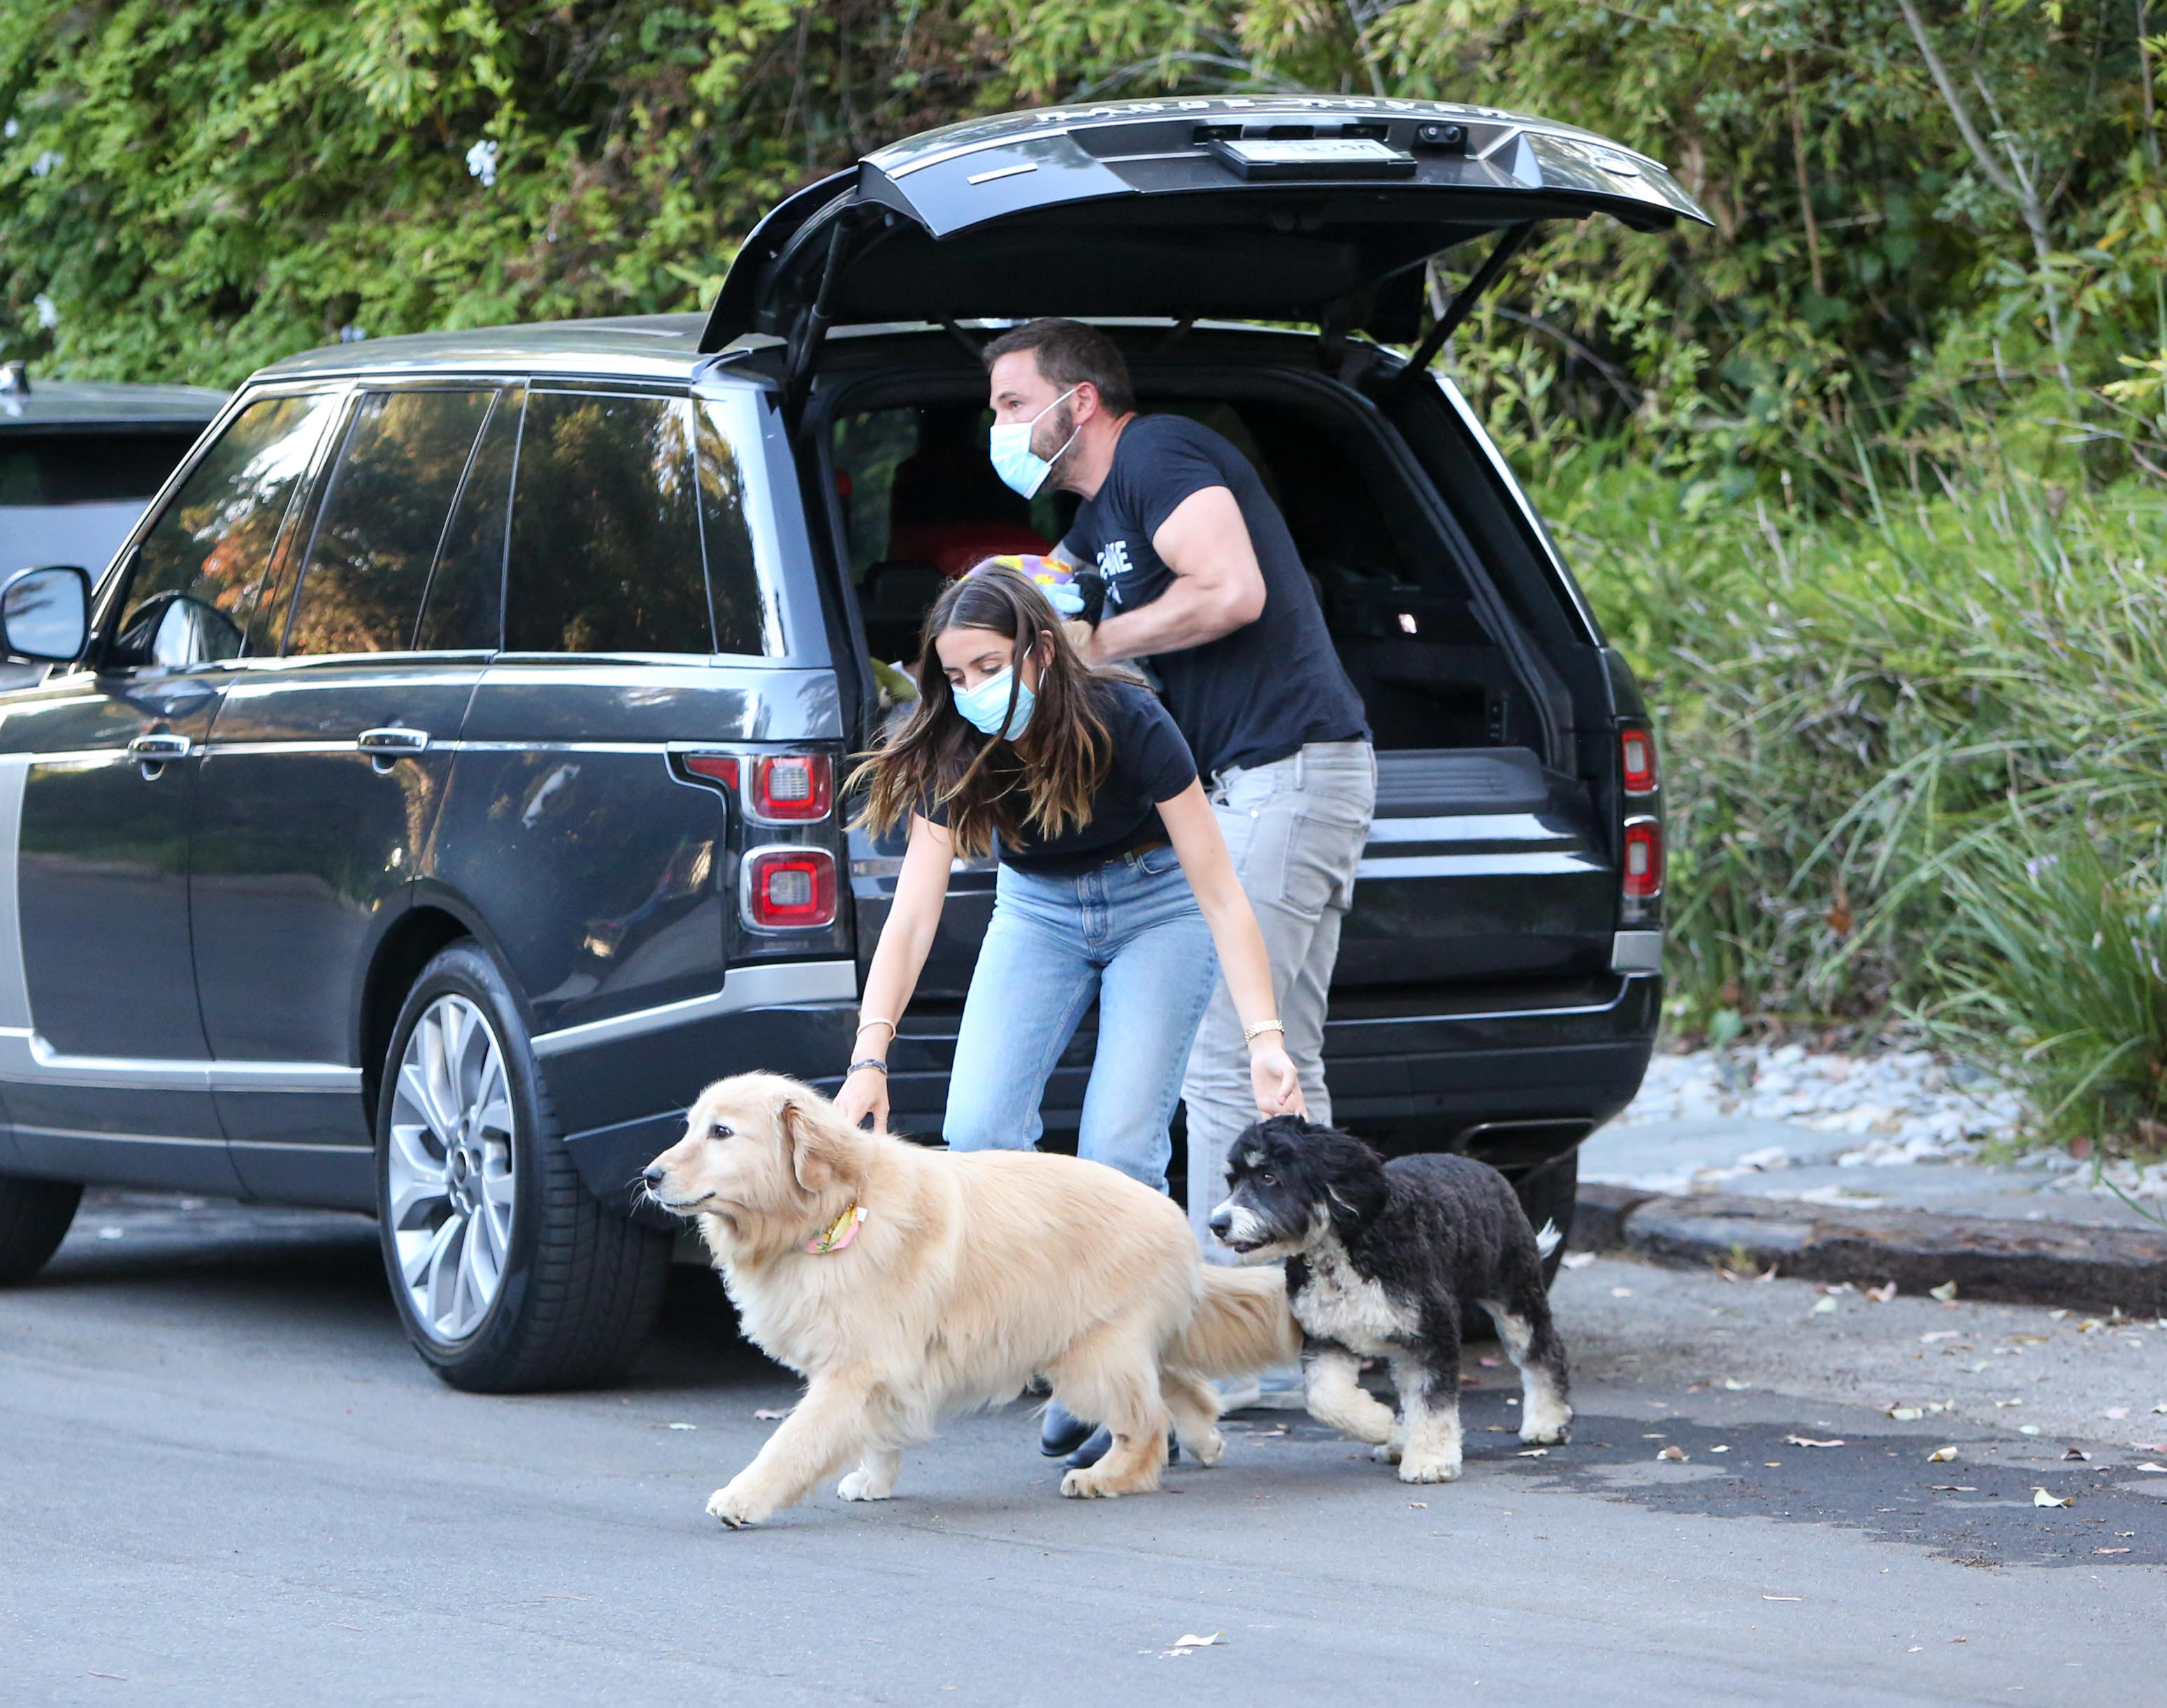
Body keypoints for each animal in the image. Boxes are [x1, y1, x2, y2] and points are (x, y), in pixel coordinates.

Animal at [633, 1075, 1291, 1526]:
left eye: (721, 1132)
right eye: (690, 1127)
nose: (649, 1176)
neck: (836, 1207)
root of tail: (1177, 1218)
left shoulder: (854, 1368)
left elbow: (793, 1442)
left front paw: (744, 1496)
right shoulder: (882, 1368)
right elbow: (875, 1433)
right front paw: (874, 1479)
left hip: (1091, 1358)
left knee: (1148, 1423)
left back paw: (1109, 1476)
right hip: (1103, 1345)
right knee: (1182, 1383)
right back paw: (1204, 1438)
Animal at [1204, 1118, 1577, 1482]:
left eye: (1269, 1177)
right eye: (1232, 1181)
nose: (1216, 1224)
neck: (1343, 1250)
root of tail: (1487, 1170)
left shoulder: (1433, 1331)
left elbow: (1433, 1402)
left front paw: (1431, 1460)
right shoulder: (1327, 1336)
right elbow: (1326, 1398)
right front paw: (1383, 1426)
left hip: (1514, 1296)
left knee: (1543, 1354)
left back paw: (1547, 1422)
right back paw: (1400, 1440)